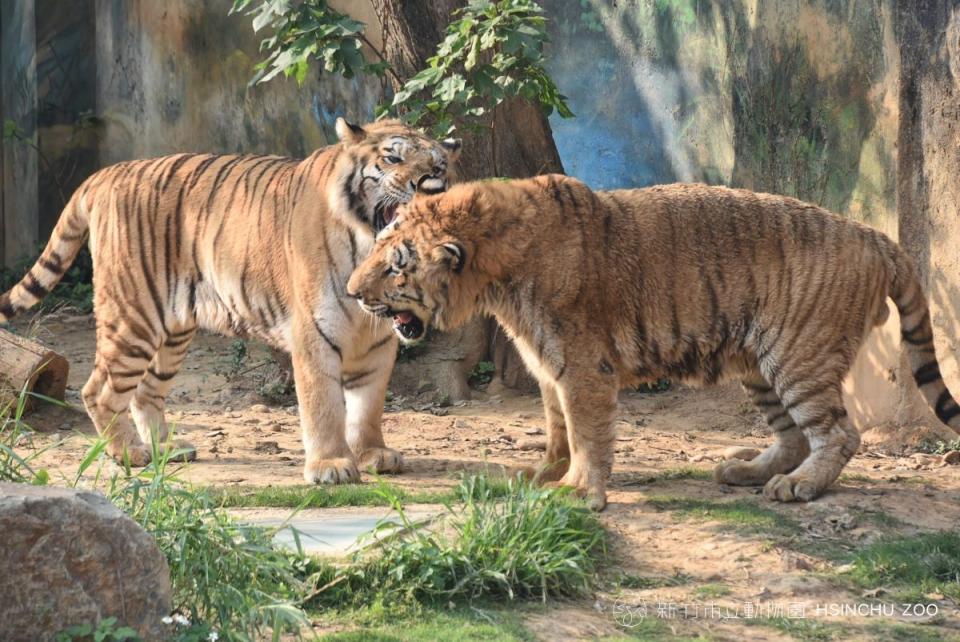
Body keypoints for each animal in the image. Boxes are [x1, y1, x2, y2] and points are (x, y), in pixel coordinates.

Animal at [0, 117, 464, 482]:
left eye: (439, 165)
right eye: (393, 159)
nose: (431, 184)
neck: (368, 245)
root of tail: (106, 173)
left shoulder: (377, 341)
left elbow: (367, 406)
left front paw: (372, 454)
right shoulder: (315, 332)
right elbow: (323, 405)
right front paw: (331, 465)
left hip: (172, 330)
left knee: (146, 389)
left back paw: (168, 449)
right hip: (133, 316)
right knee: (99, 389)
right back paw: (128, 453)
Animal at [348, 172, 960, 508]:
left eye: (395, 265)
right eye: (375, 249)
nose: (352, 291)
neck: (495, 278)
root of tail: (876, 235)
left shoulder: (582, 367)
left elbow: (588, 433)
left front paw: (579, 491)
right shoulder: (548, 365)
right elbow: (558, 429)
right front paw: (543, 474)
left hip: (799, 358)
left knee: (837, 433)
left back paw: (798, 487)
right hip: (758, 365)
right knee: (790, 435)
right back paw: (748, 471)